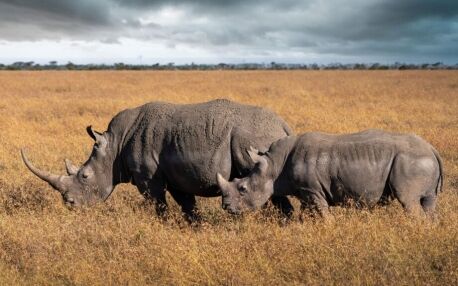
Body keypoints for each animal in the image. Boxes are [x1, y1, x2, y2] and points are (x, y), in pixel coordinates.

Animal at [21, 99, 294, 220]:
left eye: (85, 176)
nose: (70, 205)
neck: (114, 145)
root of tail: (282, 124)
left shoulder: (148, 179)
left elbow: (159, 205)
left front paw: (164, 224)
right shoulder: (179, 176)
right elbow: (188, 206)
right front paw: (195, 228)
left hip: (252, 137)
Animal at [217, 130, 444, 217]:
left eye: (243, 188)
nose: (226, 207)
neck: (274, 166)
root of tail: (432, 149)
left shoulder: (312, 190)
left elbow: (323, 214)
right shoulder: (307, 192)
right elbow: (306, 215)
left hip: (411, 162)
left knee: (408, 201)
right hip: (420, 161)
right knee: (428, 202)